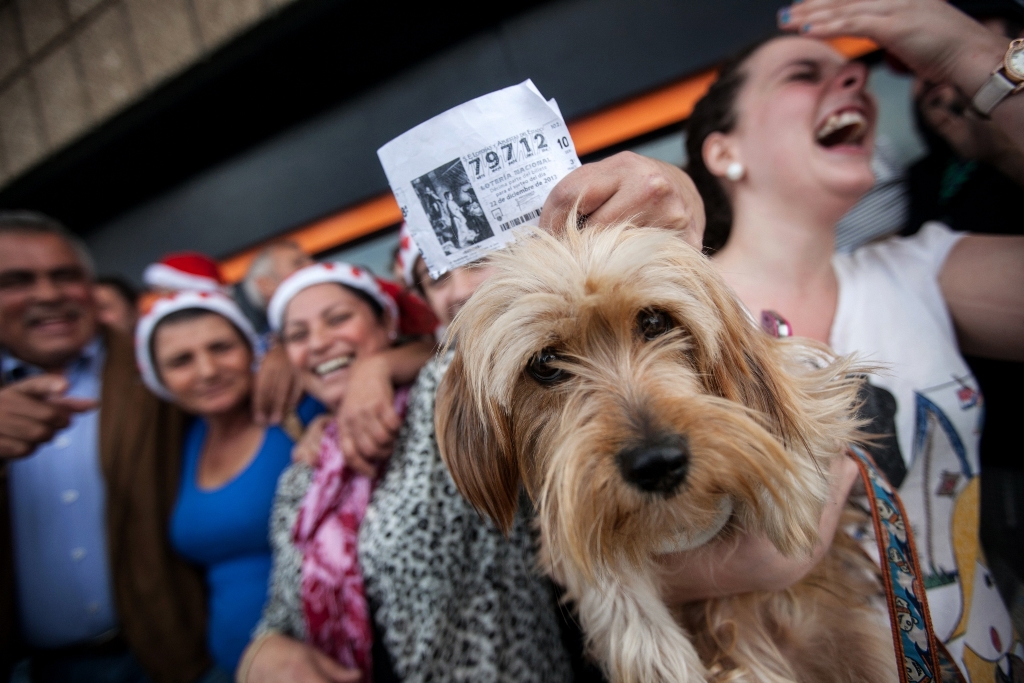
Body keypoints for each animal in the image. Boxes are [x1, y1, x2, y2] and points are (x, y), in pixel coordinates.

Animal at [432, 220, 897, 683]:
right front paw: (659, 659)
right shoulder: (567, 509)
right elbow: (595, 563)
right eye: (545, 363)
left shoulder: (799, 373)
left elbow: (799, 404)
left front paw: (785, 484)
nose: (656, 463)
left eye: (654, 320)